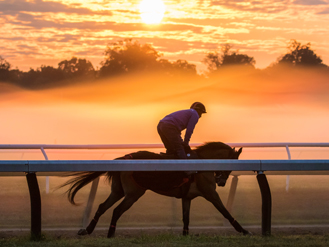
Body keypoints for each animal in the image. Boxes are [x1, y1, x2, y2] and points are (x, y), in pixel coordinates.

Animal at [60, 141, 250, 237]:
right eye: (233, 163)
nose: (222, 181)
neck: (202, 164)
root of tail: (125, 157)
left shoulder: (187, 197)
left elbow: (186, 217)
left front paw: (185, 235)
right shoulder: (210, 193)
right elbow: (225, 211)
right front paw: (243, 230)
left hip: (118, 191)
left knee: (102, 206)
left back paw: (87, 230)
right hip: (134, 193)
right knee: (117, 210)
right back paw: (110, 233)